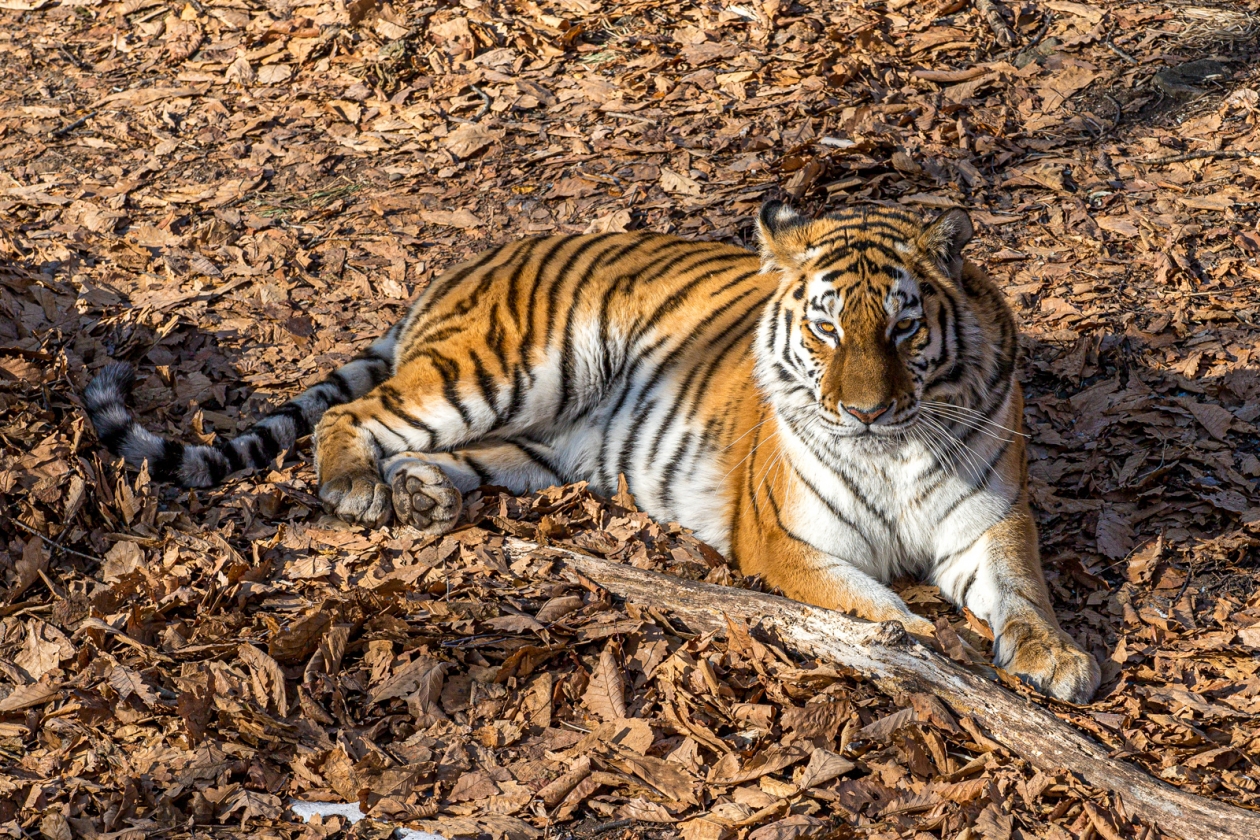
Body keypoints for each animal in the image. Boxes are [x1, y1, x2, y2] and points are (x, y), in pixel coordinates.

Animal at [83, 201, 1098, 705]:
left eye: (902, 327)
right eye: (824, 328)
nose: (865, 410)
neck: (896, 449)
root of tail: (463, 266)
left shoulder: (989, 521)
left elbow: (1024, 592)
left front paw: (1058, 658)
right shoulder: (791, 542)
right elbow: (875, 607)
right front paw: (934, 642)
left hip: (539, 440)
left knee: (452, 455)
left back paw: (422, 497)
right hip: (500, 370)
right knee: (360, 414)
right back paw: (357, 490)